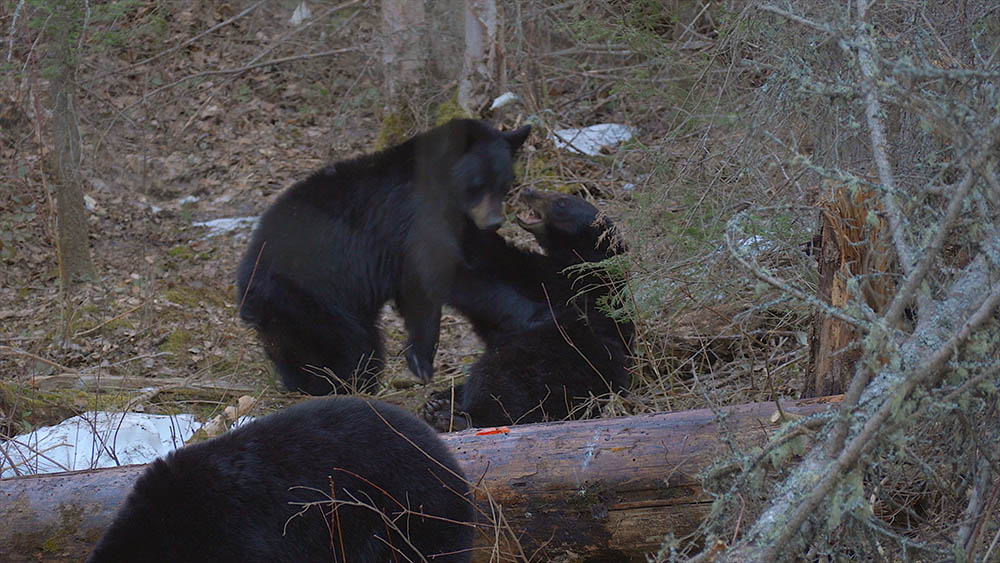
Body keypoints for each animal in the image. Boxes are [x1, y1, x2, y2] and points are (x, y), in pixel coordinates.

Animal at [236, 119, 531, 395]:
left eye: (505, 184)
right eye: (478, 184)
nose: (494, 222)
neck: (440, 186)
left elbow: (419, 295)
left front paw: (420, 359)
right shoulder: (415, 215)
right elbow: (442, 272)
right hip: (309, 297)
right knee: (347, 346)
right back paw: (340, 385)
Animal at [427, 188, 633, 430]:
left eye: (561, 202)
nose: (528, 190)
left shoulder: (555, 284)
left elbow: (485, 263)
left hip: (553, 365)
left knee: (500, 381)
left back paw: (455, 417)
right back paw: (438, 403)